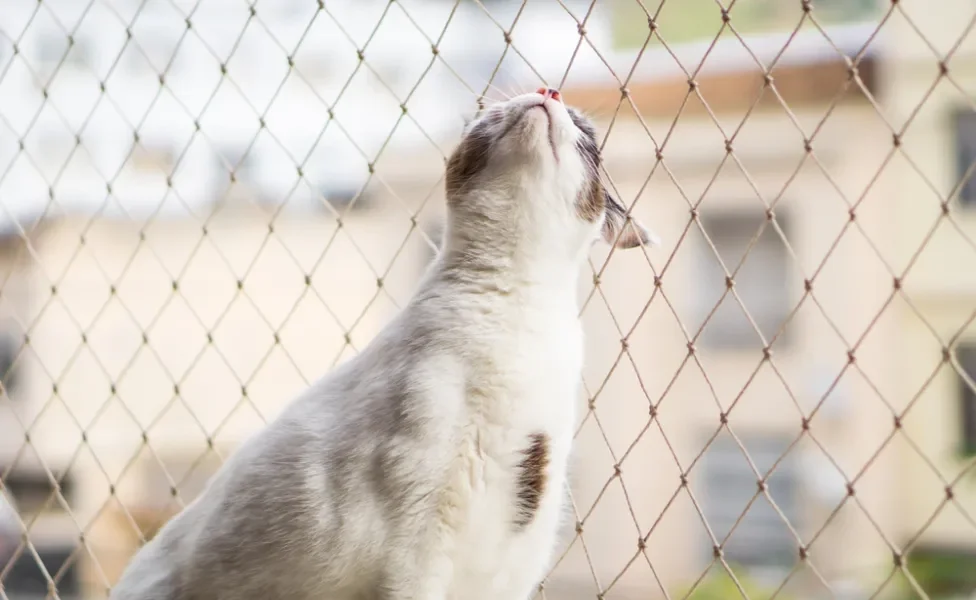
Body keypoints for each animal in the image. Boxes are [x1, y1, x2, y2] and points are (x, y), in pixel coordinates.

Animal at [108, 85, 656, 600]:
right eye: (489, 109)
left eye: (585, 131)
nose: (548, 90)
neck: (512, 306)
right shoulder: (415, 540)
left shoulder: (517, 558)